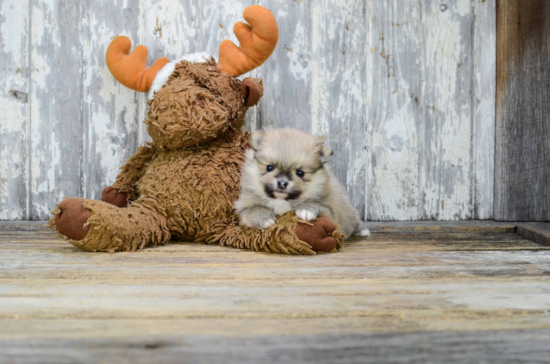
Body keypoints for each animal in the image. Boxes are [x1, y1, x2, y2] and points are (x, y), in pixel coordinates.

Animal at [235, 129, 374, 239]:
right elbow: (254, 209)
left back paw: (362, 231)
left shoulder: (331, 212)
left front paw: (306, 210)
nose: (282, 183)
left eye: (300, 173)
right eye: (269, 167)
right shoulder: (242, 208)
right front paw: (264, 218)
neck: (282, 200)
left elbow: (316, 204)